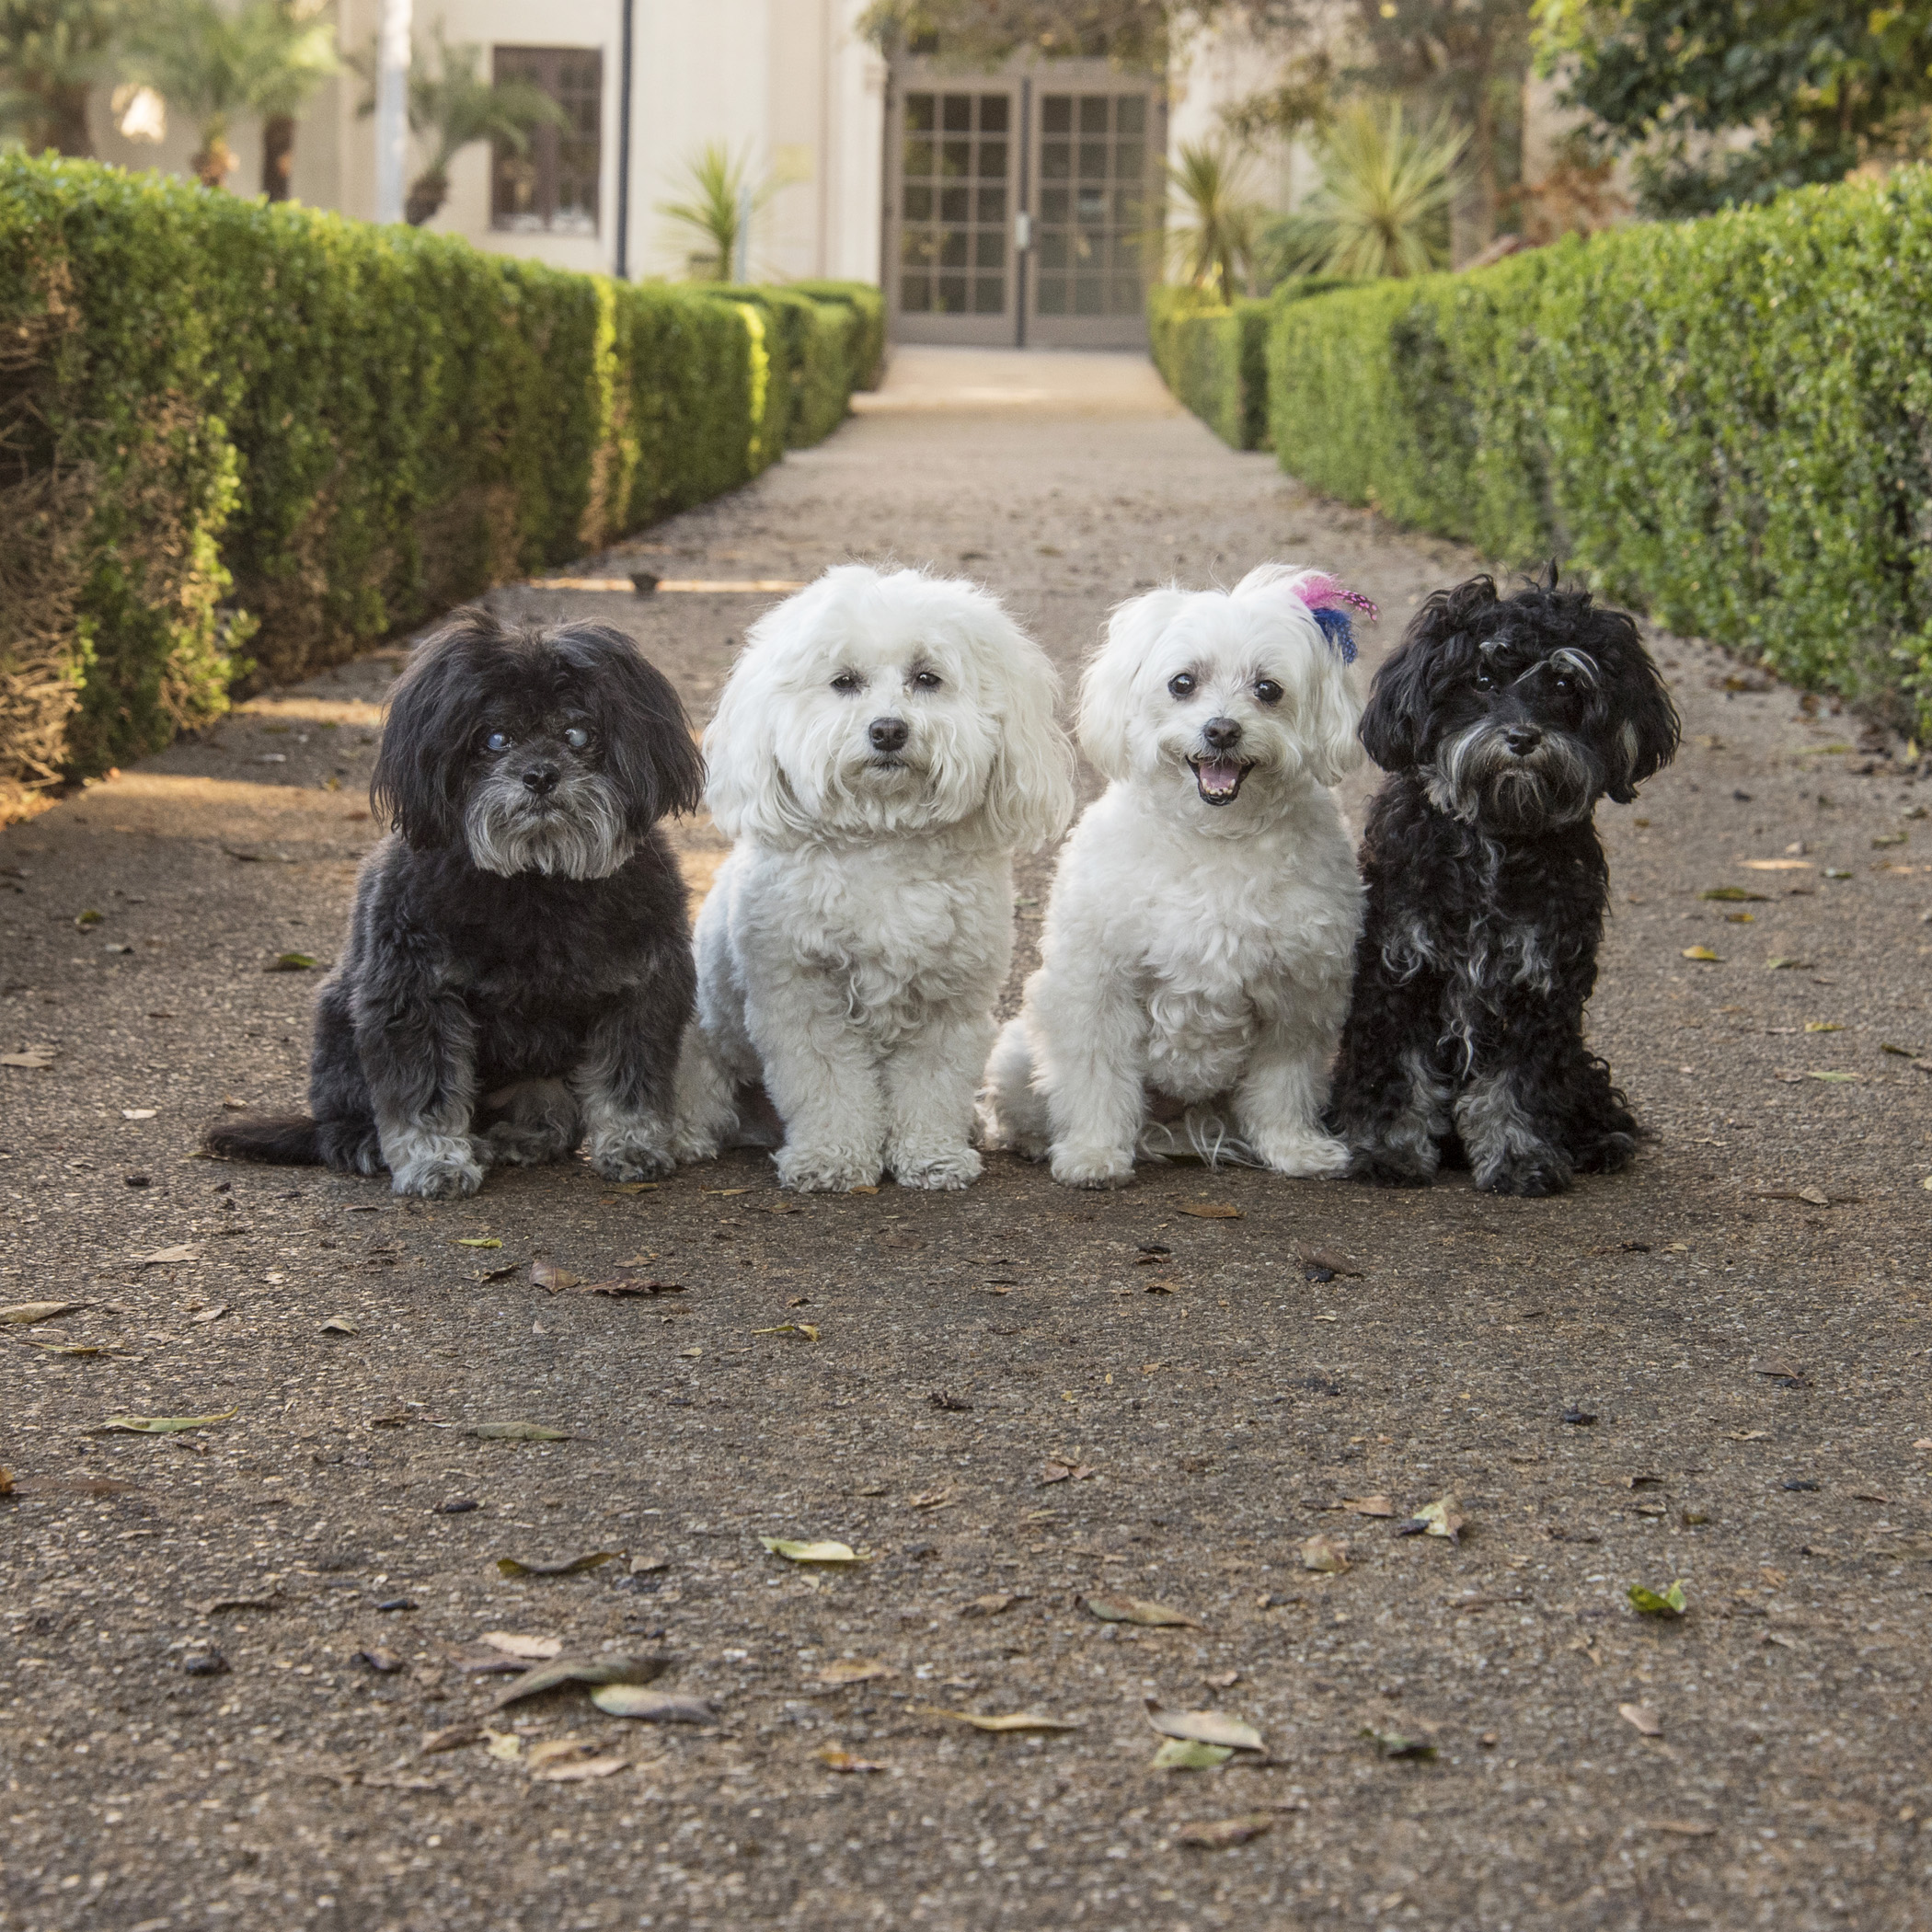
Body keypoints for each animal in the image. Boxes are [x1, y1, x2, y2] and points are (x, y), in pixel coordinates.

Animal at [205, 610, 703, 1198]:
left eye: (578, 734)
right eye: (494, 738)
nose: (540, 775)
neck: (537, 880)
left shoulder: (639, 991)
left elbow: (630, 1082)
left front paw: (631, 1144)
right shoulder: (413, 998)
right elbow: (426, 1097)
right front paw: (434, 1162)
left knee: (551, 1111)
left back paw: (521, 1134)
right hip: (339, 1025)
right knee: (338, 1122)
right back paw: (364, 1142)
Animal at [675, 564, 1074, 1190]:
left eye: (927, 678)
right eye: (844, 682)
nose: (888, 730)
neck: (885, 838)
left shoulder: (950, 1000)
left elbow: (933, 1085)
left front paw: (932, 1156)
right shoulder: (802, 998)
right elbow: (829, 1085)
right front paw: (833, 1158)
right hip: (703, 1041)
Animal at [981, 564, 1375, 1182]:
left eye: (1268, 689)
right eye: (1182, 683)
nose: (1221, 730)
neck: (1214, 837)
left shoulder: (1299, 997)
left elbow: (1284, 1084)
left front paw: (1295, 1149)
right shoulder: (1100, 986)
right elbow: (1096, 1078)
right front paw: (1093, 1153)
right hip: (1024, 1048)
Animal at [1328, 564, 1676, 1190]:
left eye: (1564, 684)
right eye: (1483, 677)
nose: (1522, 737)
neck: (1495, 837)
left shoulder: (1540, 986)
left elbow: (1518, 1086)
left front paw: (1520, 1158)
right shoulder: (1399, 972)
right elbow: (1396, 1073)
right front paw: (1387, 1151)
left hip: (1580, 1062)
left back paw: (1598, 1141)